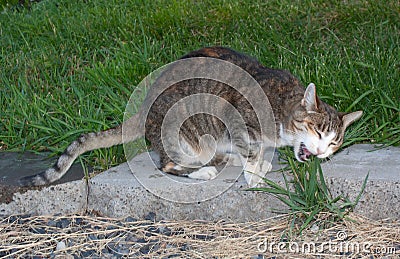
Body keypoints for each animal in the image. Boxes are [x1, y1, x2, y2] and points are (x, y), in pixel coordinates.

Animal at [18, 46, 362, 188]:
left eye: (334, 142)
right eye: (318, 133)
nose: (323, 151)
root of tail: (143, 107)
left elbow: (255, 151)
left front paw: (258, 163)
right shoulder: (238, 120)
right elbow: (250, 152)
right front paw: (254, 175)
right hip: (191, 136)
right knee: (168, 164)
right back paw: (205, 171)